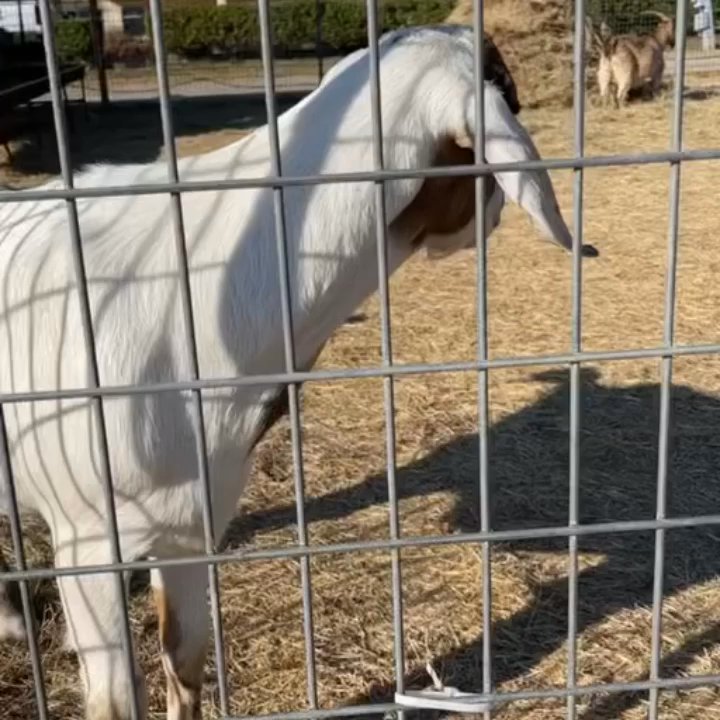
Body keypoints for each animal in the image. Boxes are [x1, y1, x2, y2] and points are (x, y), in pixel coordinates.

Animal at [0, 25, 595, 720]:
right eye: (510, 91)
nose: (496, 211)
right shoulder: (86, 539)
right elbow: (115, 699)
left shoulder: (192, 522)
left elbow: (185, 659)